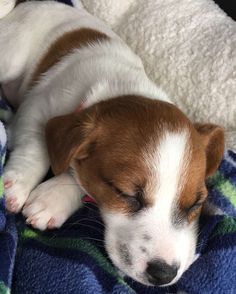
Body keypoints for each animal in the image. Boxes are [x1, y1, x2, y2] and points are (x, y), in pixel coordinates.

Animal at [0, 0, 225, 288]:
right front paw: (17, 184)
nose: (164, 274)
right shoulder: (35, 108)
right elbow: (37, 149)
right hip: (12, 55)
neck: (116, 89)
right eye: (125, 194)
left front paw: (53, 198)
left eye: (195, 205)